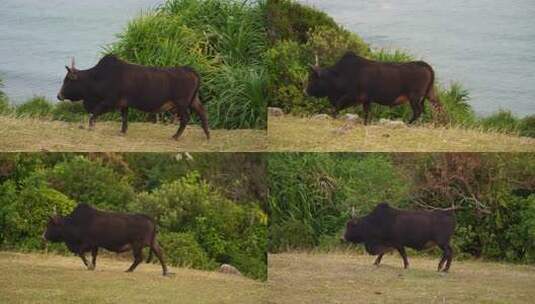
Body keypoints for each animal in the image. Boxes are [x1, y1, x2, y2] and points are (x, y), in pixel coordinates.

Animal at [58, 55, 209, 140]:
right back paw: (207, 135)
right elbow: (124, 118)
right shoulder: (124, 104)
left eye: (68, 80)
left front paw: (91, 127)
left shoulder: (110, 102)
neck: (97, 78)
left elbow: (94, 113)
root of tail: (189, 70)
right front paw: (122, 132)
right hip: (193, 100)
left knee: (186, 118)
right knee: (202, 112)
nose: (59, 96)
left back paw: (176, 136)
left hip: (181, 103)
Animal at [304, 52, 446, 124]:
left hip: (414, 97)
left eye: (312, 78)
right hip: (429, 93)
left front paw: (333, 117)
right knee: (438, 107)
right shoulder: (366, 100)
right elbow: (366, 114)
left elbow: (337, 107)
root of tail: (424, 65)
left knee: (418, 111)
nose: (306, 91)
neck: (339, 75)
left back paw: (408, 123)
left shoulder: (352, 96)